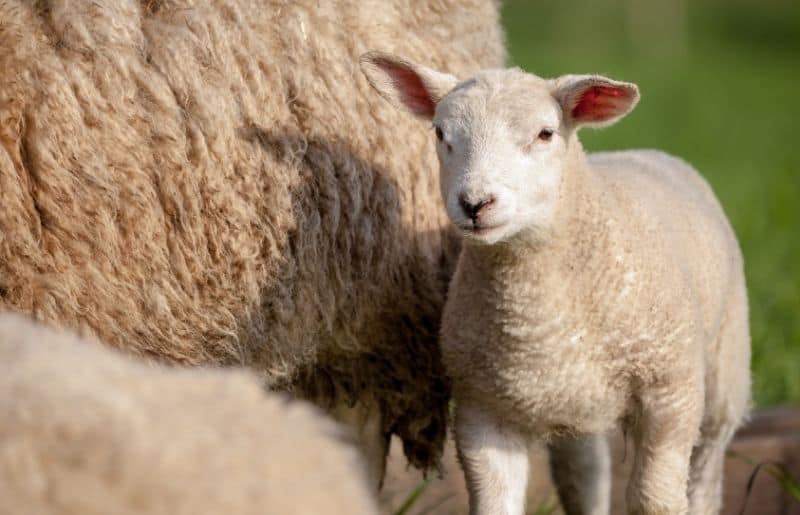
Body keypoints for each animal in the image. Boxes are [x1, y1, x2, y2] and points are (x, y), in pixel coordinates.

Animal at [360, 53, 751, 514]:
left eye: (545, 133)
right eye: (440, 133)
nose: (475, 204)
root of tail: (651, 153)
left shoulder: (669, 392)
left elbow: (655, 499)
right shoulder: (482, 409)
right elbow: (496, 503)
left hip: (723, 374)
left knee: (706, 474)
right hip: (575, 400)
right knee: (585, 476)